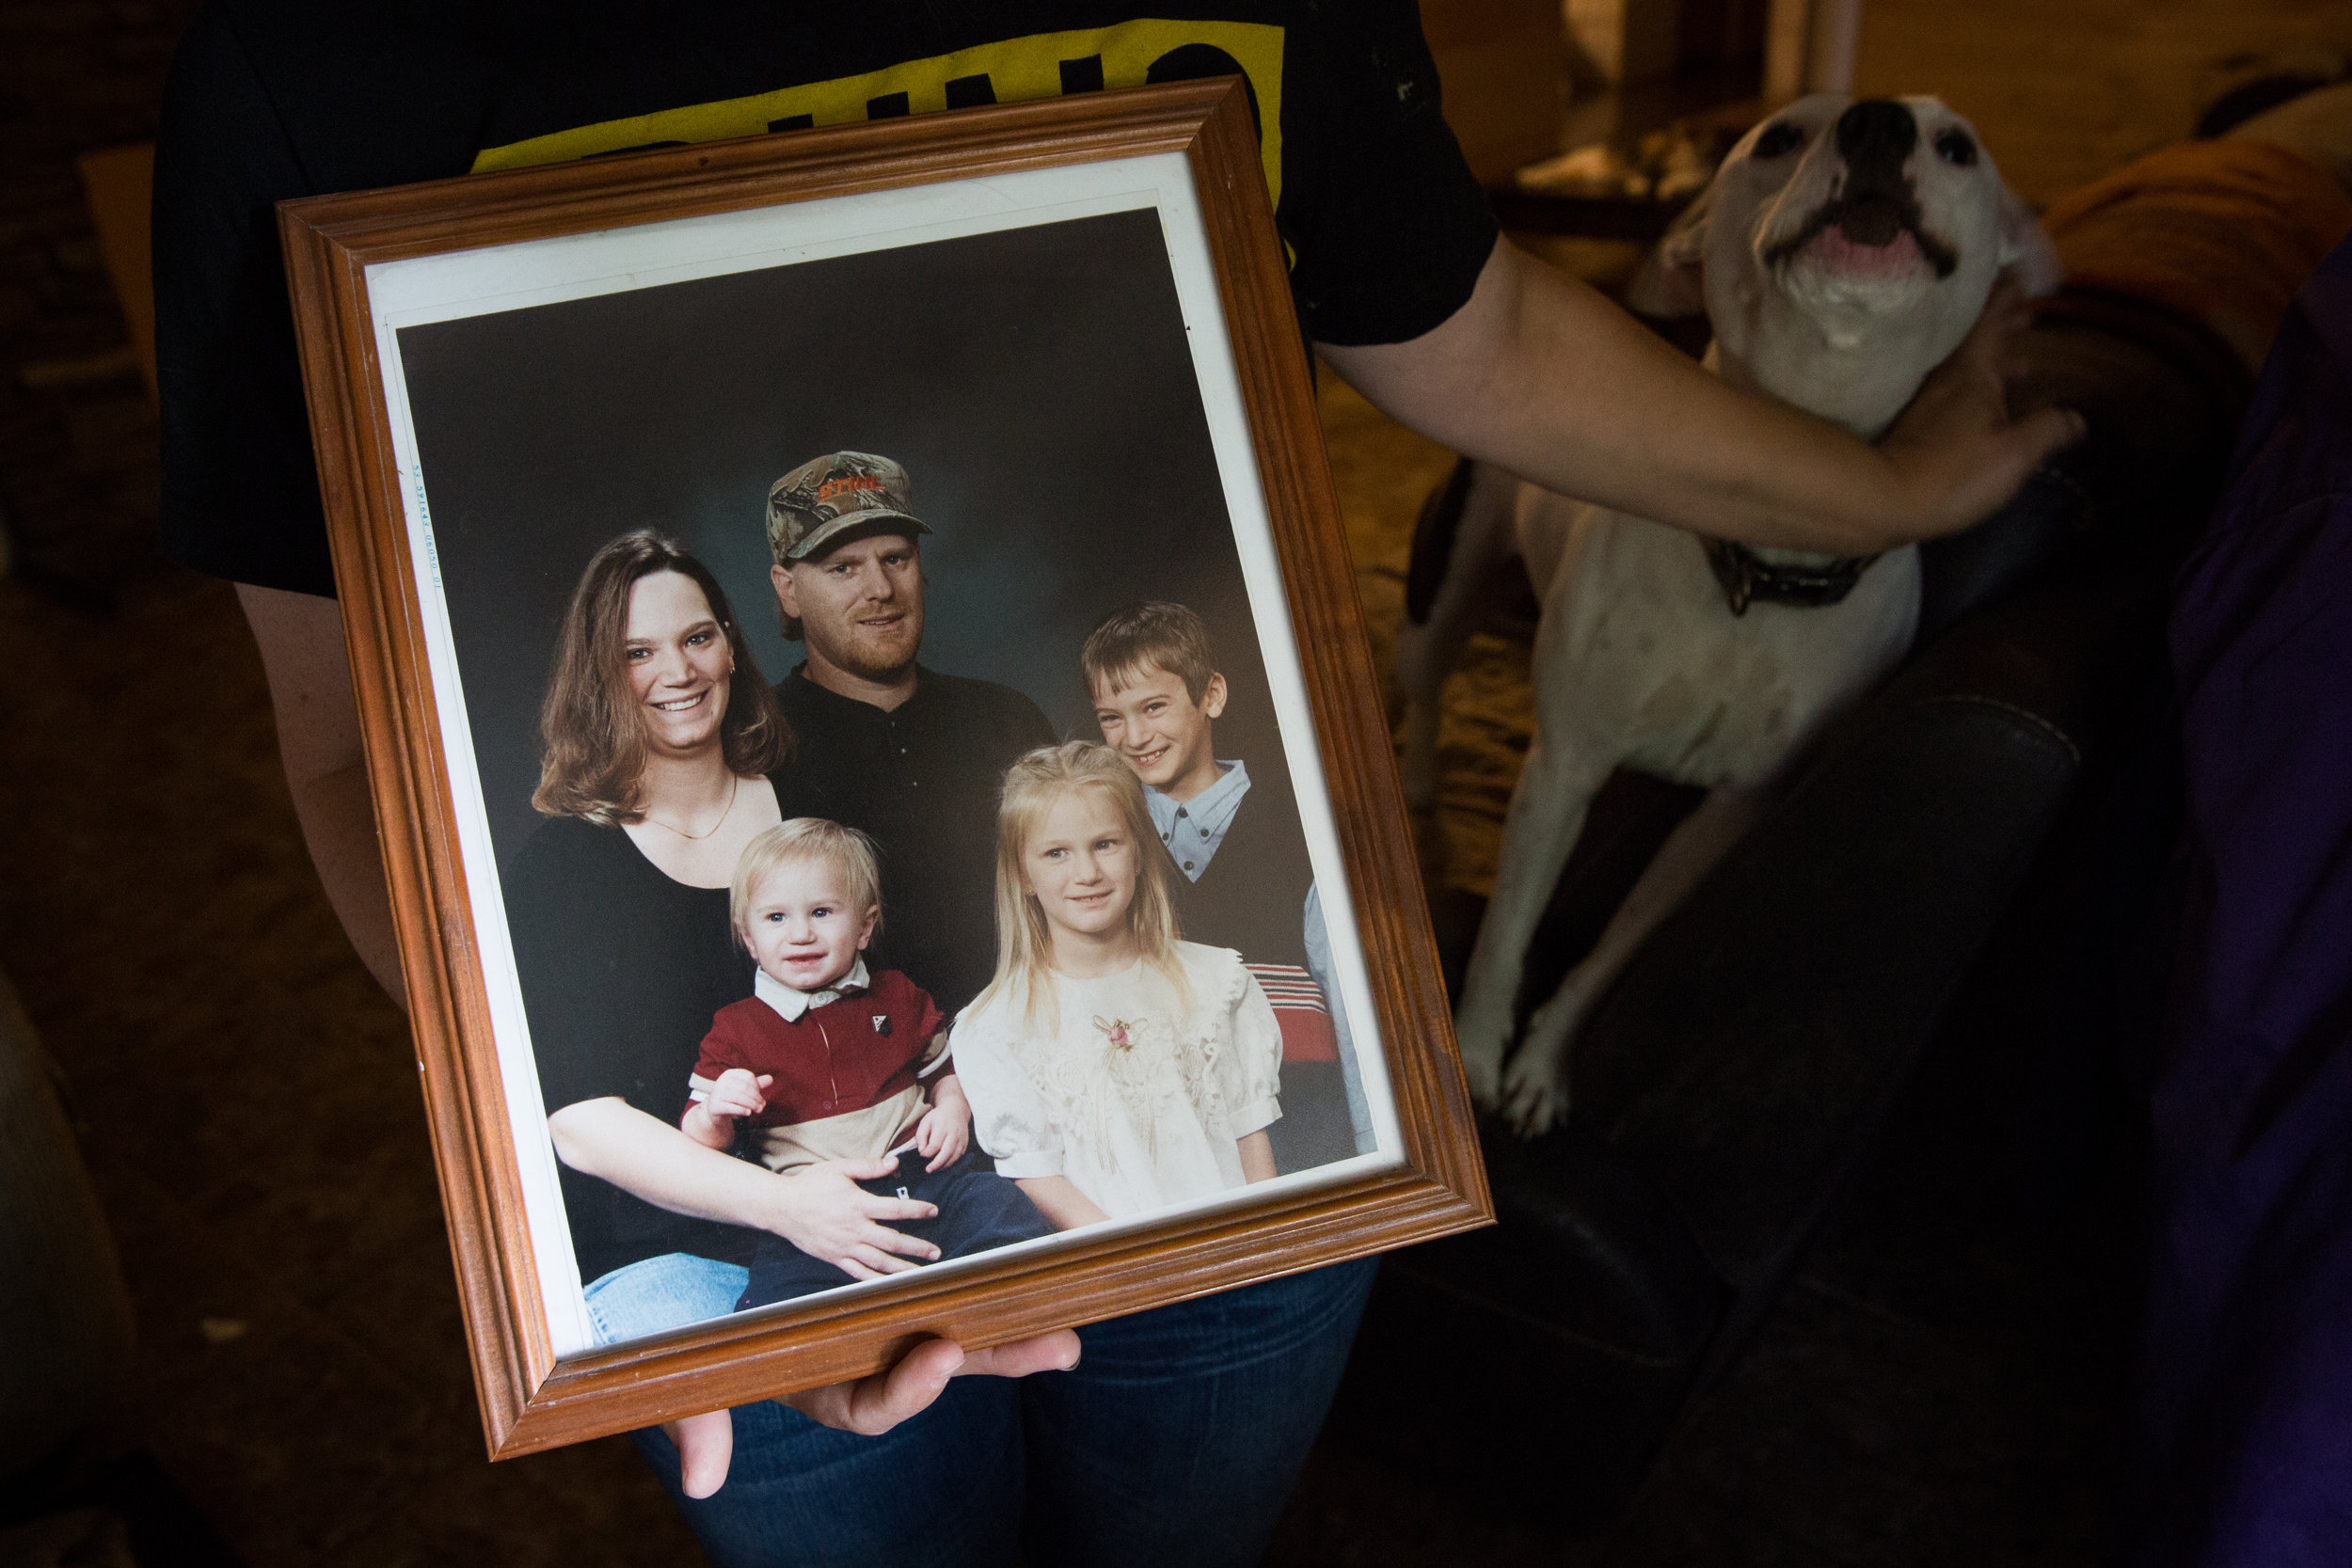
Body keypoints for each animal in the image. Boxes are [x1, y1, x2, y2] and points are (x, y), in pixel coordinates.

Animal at [1392, 92, 2060, 1132]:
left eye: (1957, 146)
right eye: (1780, 136)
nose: (1876, 122)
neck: (1760, 569)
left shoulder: (1725, 817)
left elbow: (1609, 952)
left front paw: (1541, 1065)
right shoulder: (1563, 768)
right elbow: (1506, 928)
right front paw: (1473, 1052)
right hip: (1447, 587)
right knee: (1422, 680)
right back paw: (1418, 777)